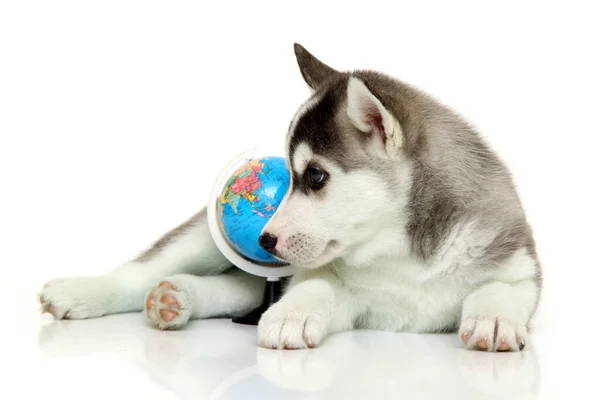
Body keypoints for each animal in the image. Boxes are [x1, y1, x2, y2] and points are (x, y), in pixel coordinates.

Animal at [39, 43, 540, 350]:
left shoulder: (521, 269)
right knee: (141, 270)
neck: (401, 254)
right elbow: (315, 285)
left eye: (315, 177)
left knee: (236, 288)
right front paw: (291, 316)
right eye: (295, 177)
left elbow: (501, 289)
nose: (264, 239)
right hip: (204, 239)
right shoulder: (333, 285)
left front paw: (494, 319)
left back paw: (175, 298)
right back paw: (81, 292)